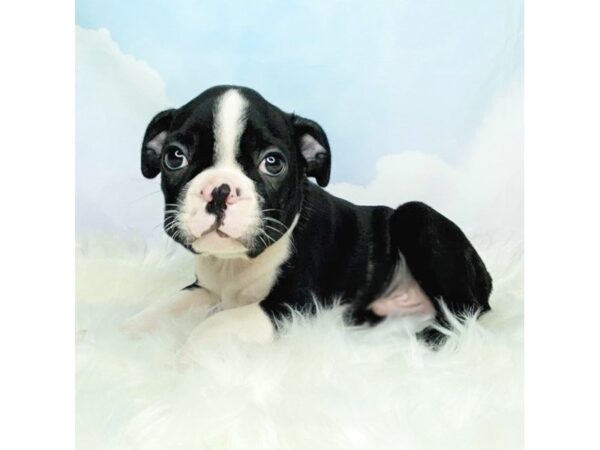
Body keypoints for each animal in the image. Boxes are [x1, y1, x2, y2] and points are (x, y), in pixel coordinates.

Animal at [126, 86, 492, 364]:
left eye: (272, 163)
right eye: (174, 157)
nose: (219, 190)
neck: (235, 266)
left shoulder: (289, 307)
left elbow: (216, 324)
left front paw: (186, 357)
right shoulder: (205, 288)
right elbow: (164, 306)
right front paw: (126, 332)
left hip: (416, 218)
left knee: (463, 310)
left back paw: (429, 338)